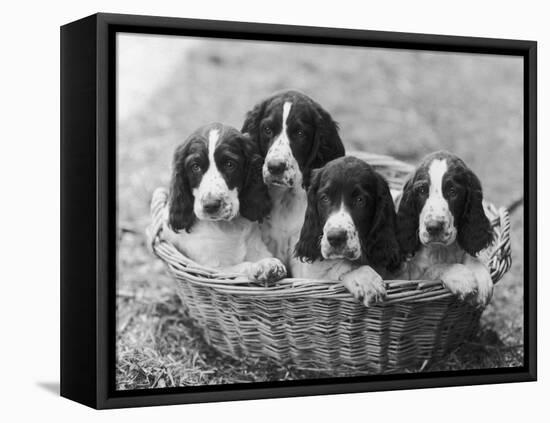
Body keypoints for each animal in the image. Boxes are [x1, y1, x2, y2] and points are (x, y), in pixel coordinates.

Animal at [160, 124, 286, 286]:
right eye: (195, 167)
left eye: (229, 164)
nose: (211, 205)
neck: (229, 228)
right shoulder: (212, 268)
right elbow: (240, 266)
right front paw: (262, 266)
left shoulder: (258, 248)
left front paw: (268, 263)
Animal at [396, 151, 496, 306]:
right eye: (422, 190)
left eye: (453, 191)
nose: (433, 227)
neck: (440, 250)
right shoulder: (408, 277)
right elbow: (432, 270)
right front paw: (460, 276)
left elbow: (470, 255)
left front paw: (481, 276)